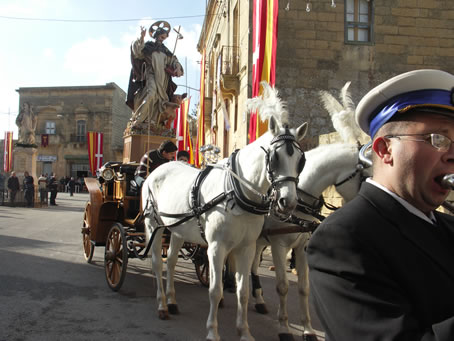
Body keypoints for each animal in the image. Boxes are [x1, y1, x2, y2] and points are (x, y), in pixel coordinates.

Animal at [144, 83, 308, 340]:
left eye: (301, 160)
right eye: (274, 157)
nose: (288, 202)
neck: (237, 192)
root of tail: (156, 171)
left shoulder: (246, 248)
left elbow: (243, 291)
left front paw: (244, 331)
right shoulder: (216, 247)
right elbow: (215, 290)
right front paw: (213, 331)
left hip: (178, 230)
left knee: (169, 261)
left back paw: (171, 301)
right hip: (154, 226)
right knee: (157, 264)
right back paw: (162, 305)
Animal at [250, 81, 370, 338]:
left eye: (301, 160)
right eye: (366, 175)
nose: (287, 203)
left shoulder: (302, 245)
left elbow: (304, 288)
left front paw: (307, 329)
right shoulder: (279, 244)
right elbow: (283, 286)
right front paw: (284, 326)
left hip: (259, 240)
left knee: (252, 265)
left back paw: (258, 299)